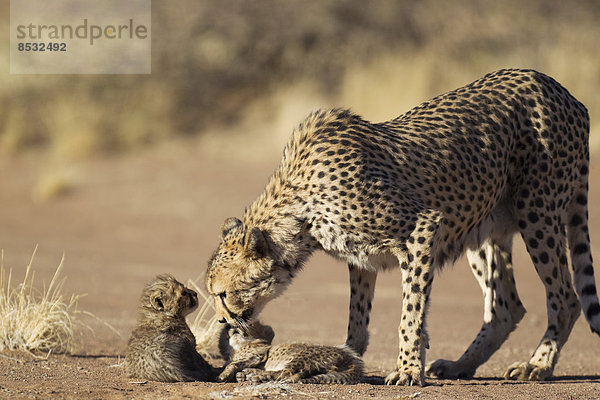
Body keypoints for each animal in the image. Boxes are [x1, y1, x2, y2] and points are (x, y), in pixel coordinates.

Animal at [206, 68, 600, 384]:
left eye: (222, 294)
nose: (224, 322)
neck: (297, 208)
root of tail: (555, 87)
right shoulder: (361, 258)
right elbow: (358, 318)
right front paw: (348, 357)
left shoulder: (422, 228)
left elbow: (410, 313)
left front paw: (409, 369)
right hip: (482, 225)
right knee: (506, 306)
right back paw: (461, 365)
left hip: (537, 211)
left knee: (565, 297)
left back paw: (539, 365)